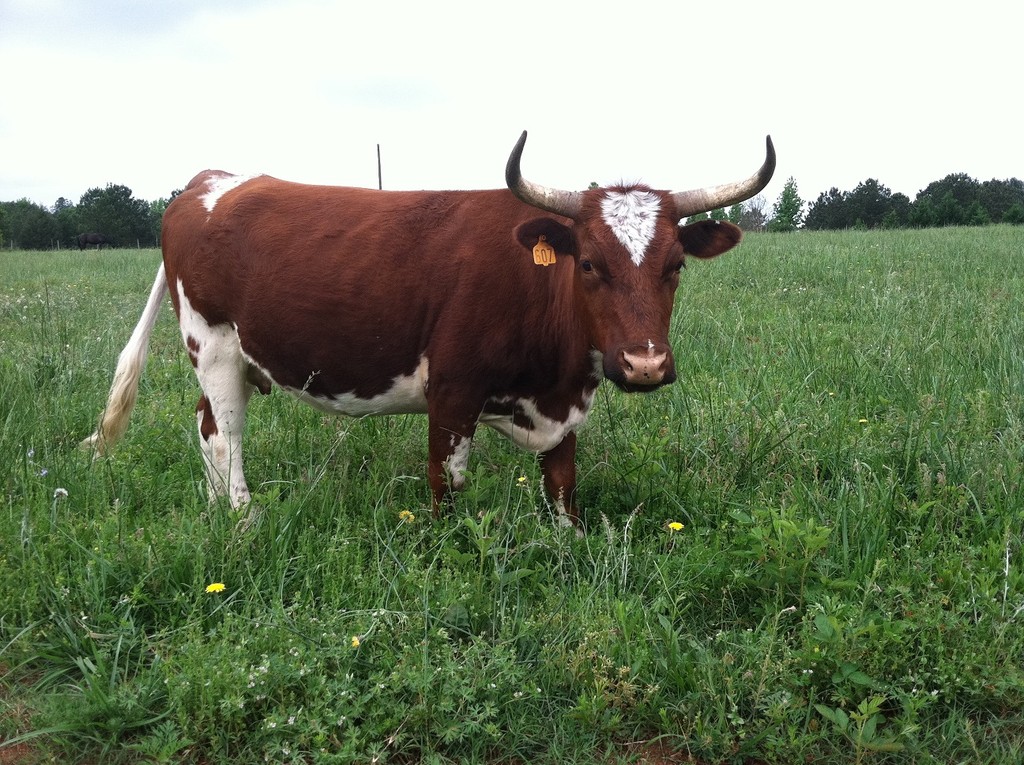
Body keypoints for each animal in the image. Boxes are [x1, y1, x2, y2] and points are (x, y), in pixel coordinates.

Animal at [82, 131, 775, 531]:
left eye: (676, 264)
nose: (644, 365)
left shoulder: (563, 402)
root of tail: (210, 183)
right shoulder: (452, 392)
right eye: (588, 264)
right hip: (214, 347)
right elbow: (448, 482)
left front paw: (568, 543)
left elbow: (562, 484)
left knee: (205, 428)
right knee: (223, 435)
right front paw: (446, 551)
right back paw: (244, 518)